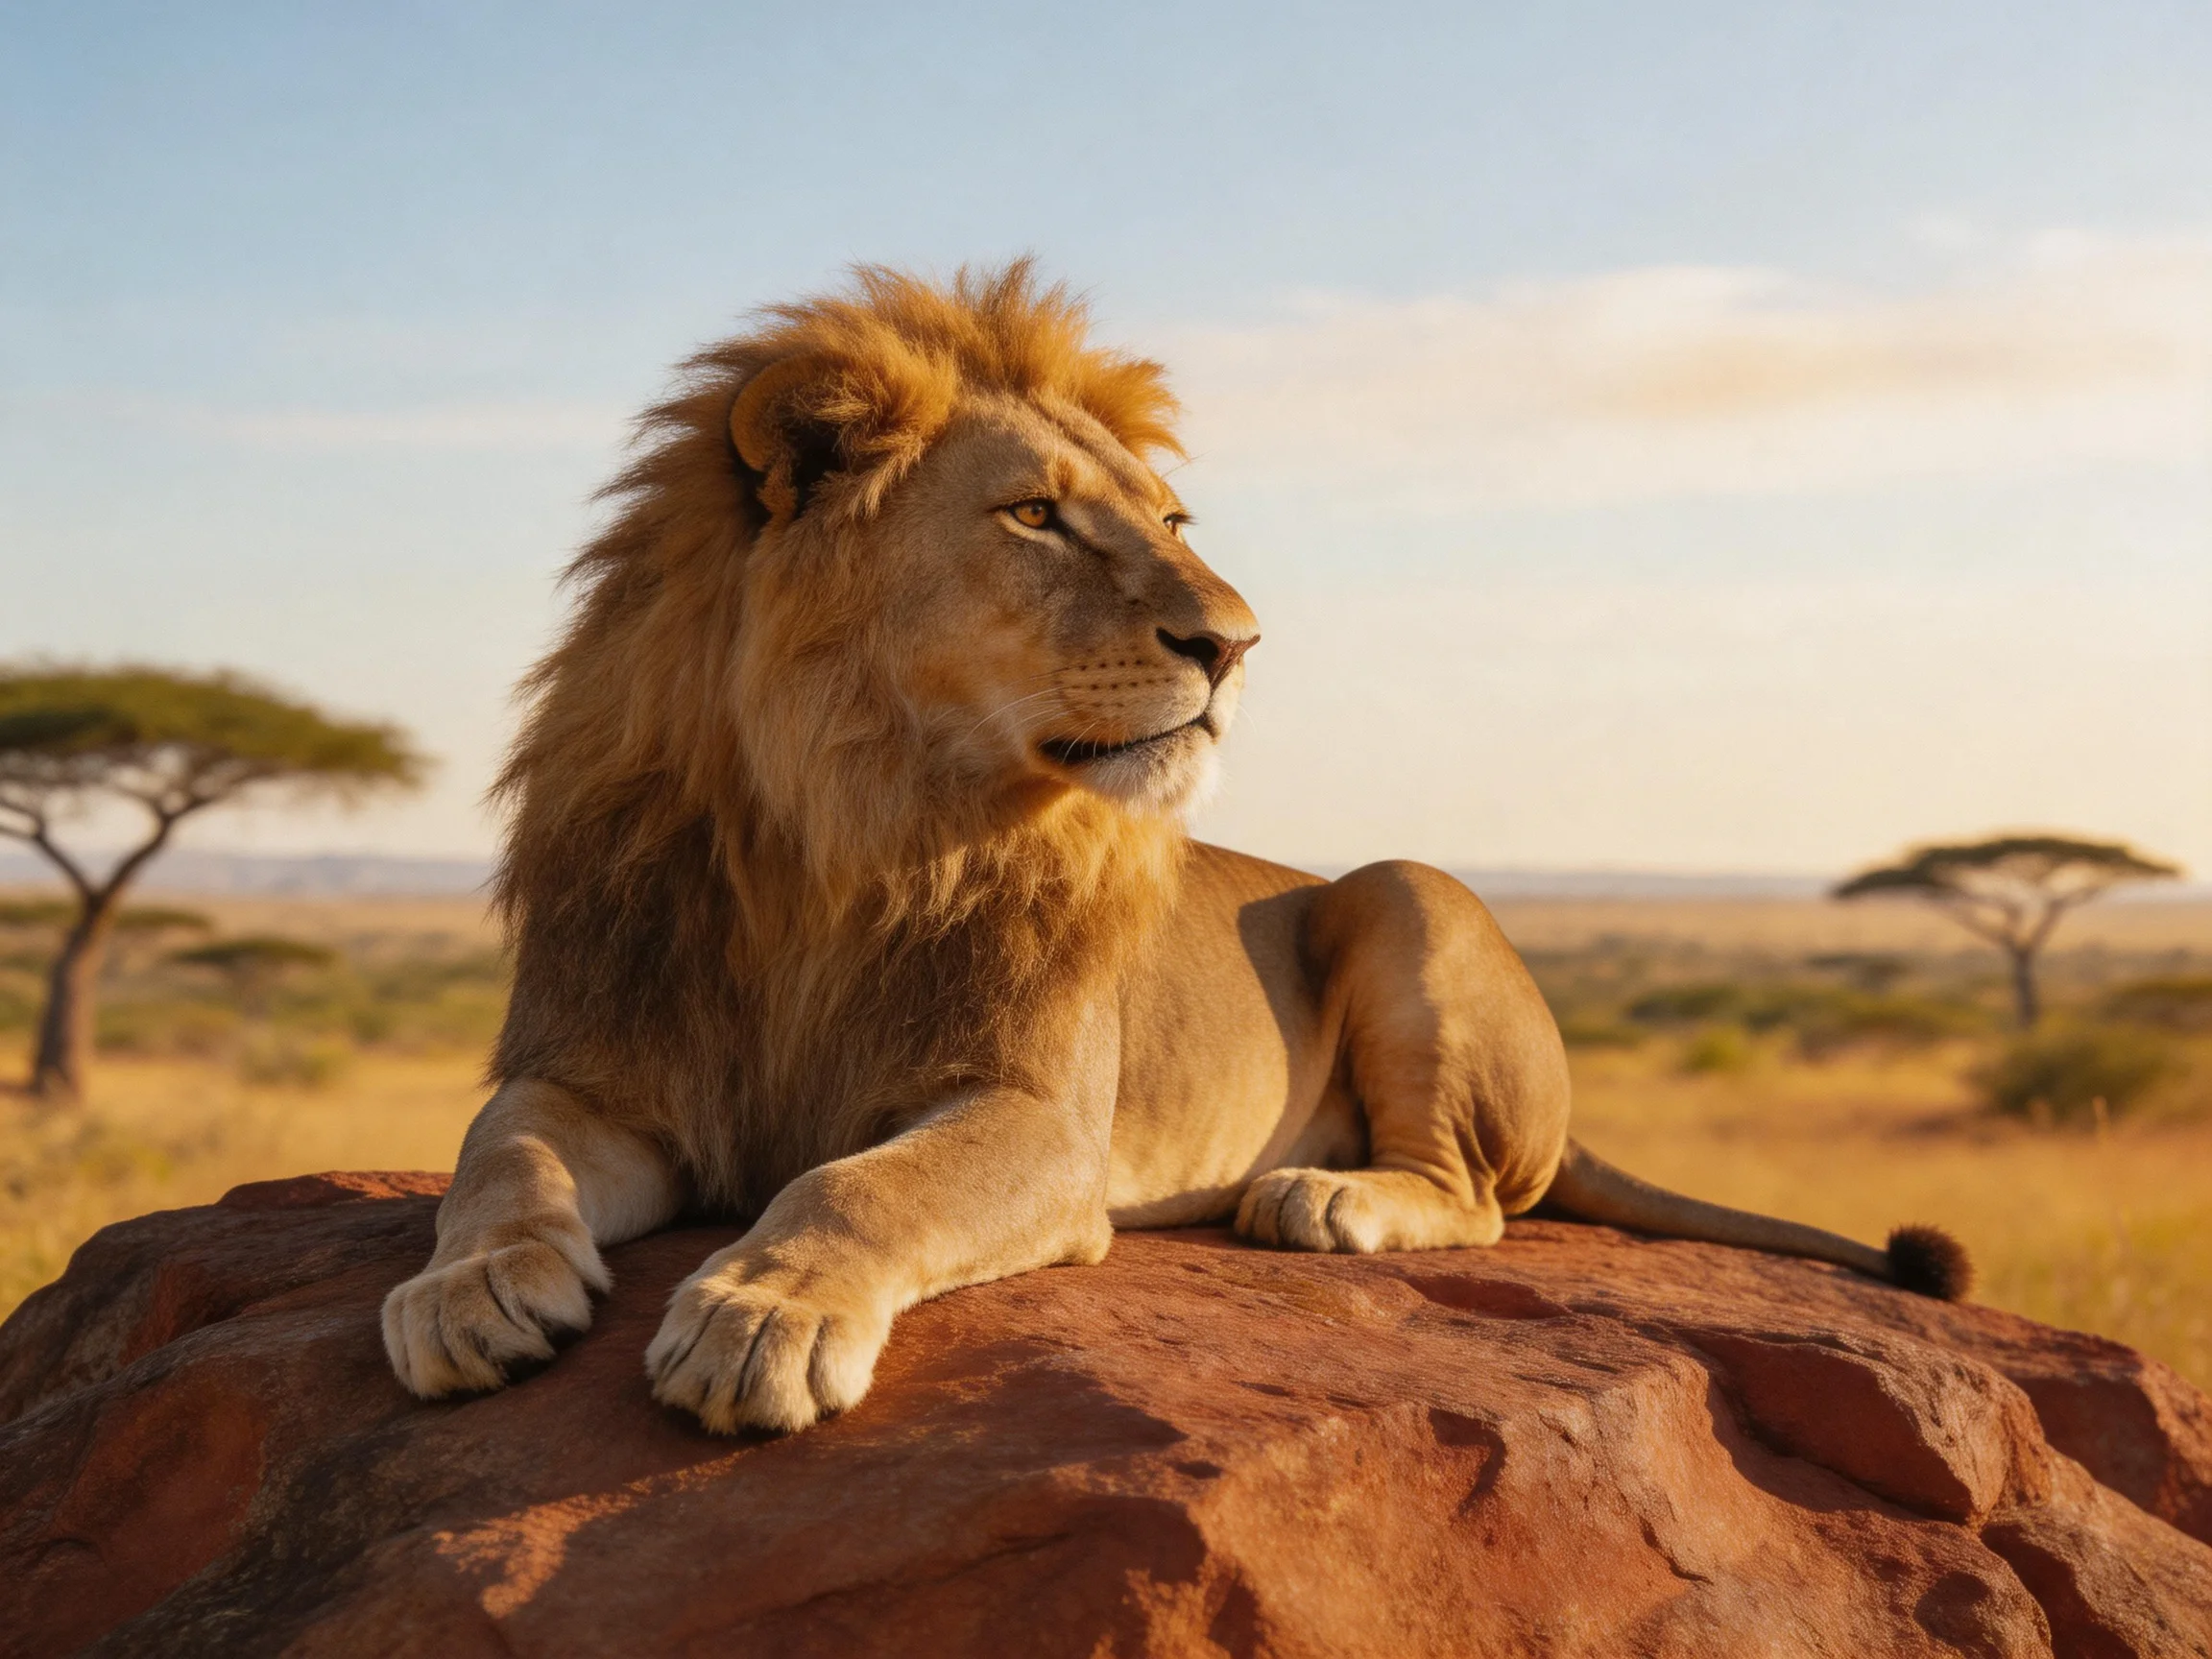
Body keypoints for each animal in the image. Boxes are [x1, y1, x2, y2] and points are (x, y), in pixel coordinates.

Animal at [383, 262, 1970, 1435]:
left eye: (1167, 518)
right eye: (1035, 515)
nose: (1238, 642)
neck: (847, 831)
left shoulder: (1042, 1124)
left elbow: (855, 1184)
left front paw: (759, 1314)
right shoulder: (594, 1066)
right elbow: (497, 1159)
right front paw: (470, 1292)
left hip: (1408, 894)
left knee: (1477, 1199)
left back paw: (1324, 1197)